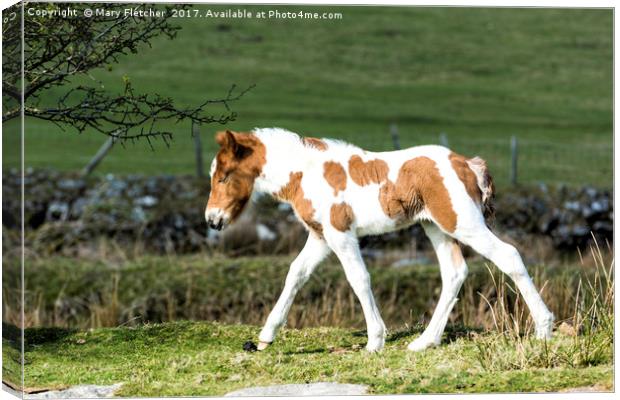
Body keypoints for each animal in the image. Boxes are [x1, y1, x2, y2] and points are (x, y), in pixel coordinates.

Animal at [206, 128, 556, 354]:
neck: (306, 173)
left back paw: (544, 329)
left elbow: (358, 278)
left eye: (223, 176)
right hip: (435, 227)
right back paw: (424, 342)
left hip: (463, 223)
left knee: (509, 255)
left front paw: (375, 341)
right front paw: (265, 337)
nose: (212, 220)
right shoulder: (320, 236)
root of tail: (466, 163)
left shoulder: (340, 233)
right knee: (455, 273)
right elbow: (296, 274)